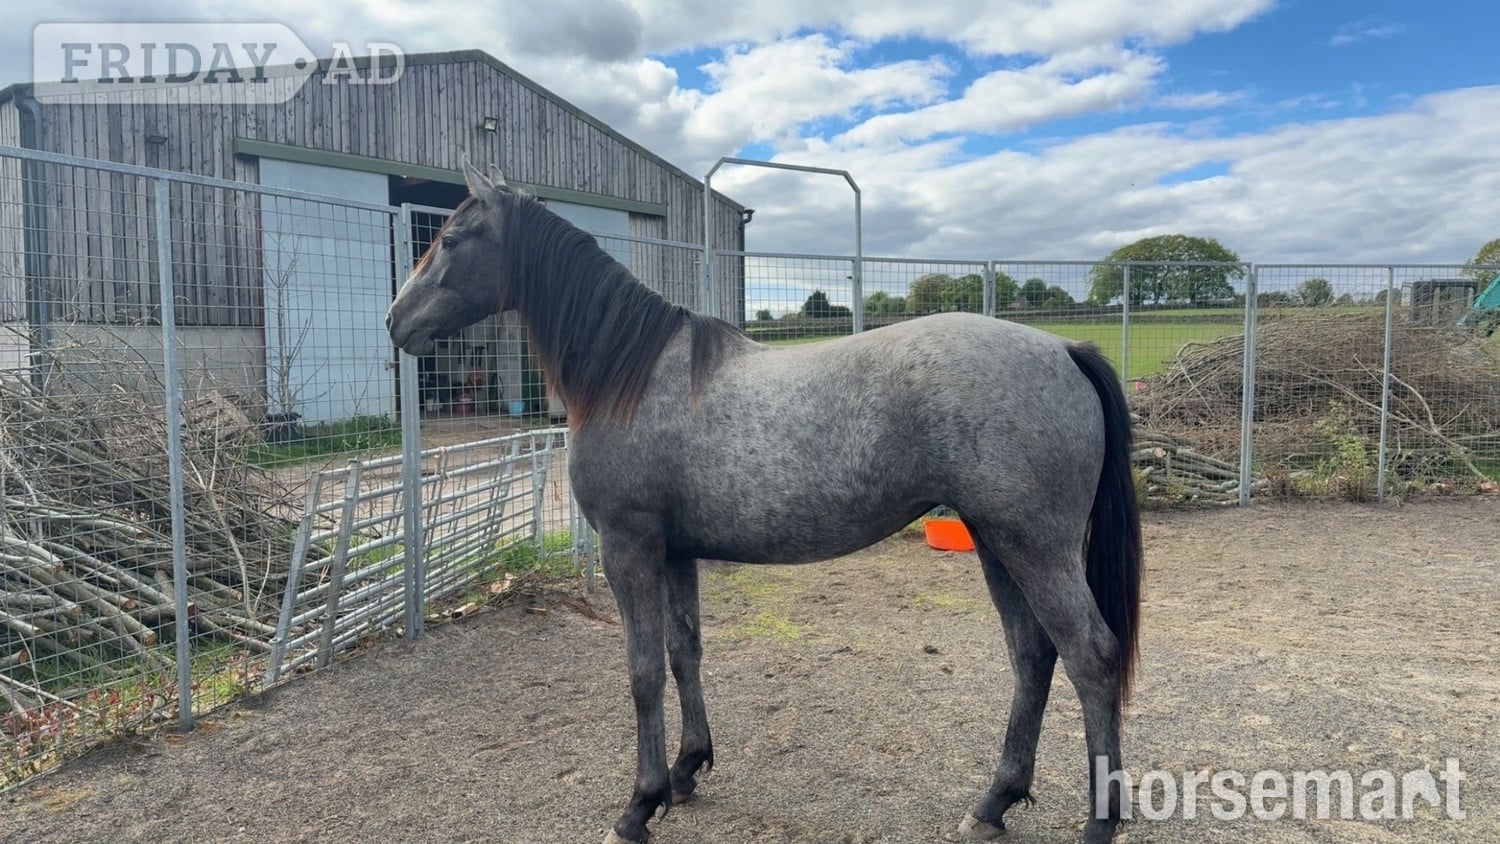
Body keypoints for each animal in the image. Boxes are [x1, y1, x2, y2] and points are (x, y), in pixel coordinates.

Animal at [386, 160, 1143, 844]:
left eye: (452, 239)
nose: (396, 322)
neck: (632, 376)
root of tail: (1064, 349)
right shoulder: (674, 553)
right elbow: (683, 653)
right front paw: (686, 771)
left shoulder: (628, 549)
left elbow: (641, 673)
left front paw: (639, 806)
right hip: (996, 542)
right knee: (1033, 657)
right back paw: (993, 803)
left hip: (1035, 547)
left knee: (1091, 655)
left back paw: (1098, 822)